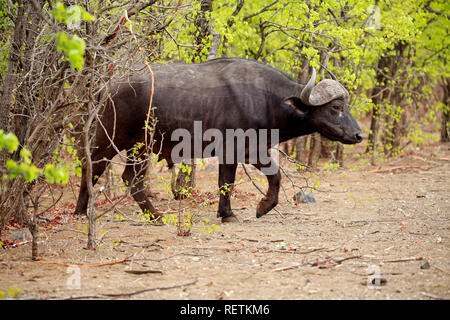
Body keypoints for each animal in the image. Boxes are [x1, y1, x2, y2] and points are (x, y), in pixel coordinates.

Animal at [74, 57, 362, 222]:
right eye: (336, 107)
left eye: (345, 105)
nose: (358, 135)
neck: (267, 99)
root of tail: (110, 85)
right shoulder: (232, 151)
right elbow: (227, 183)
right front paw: (228, 214)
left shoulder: (252, 150)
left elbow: (276, 176)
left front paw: (263, 206)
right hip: (112, 138)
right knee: (94, 167)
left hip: (139, 147)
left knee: (127, 178)